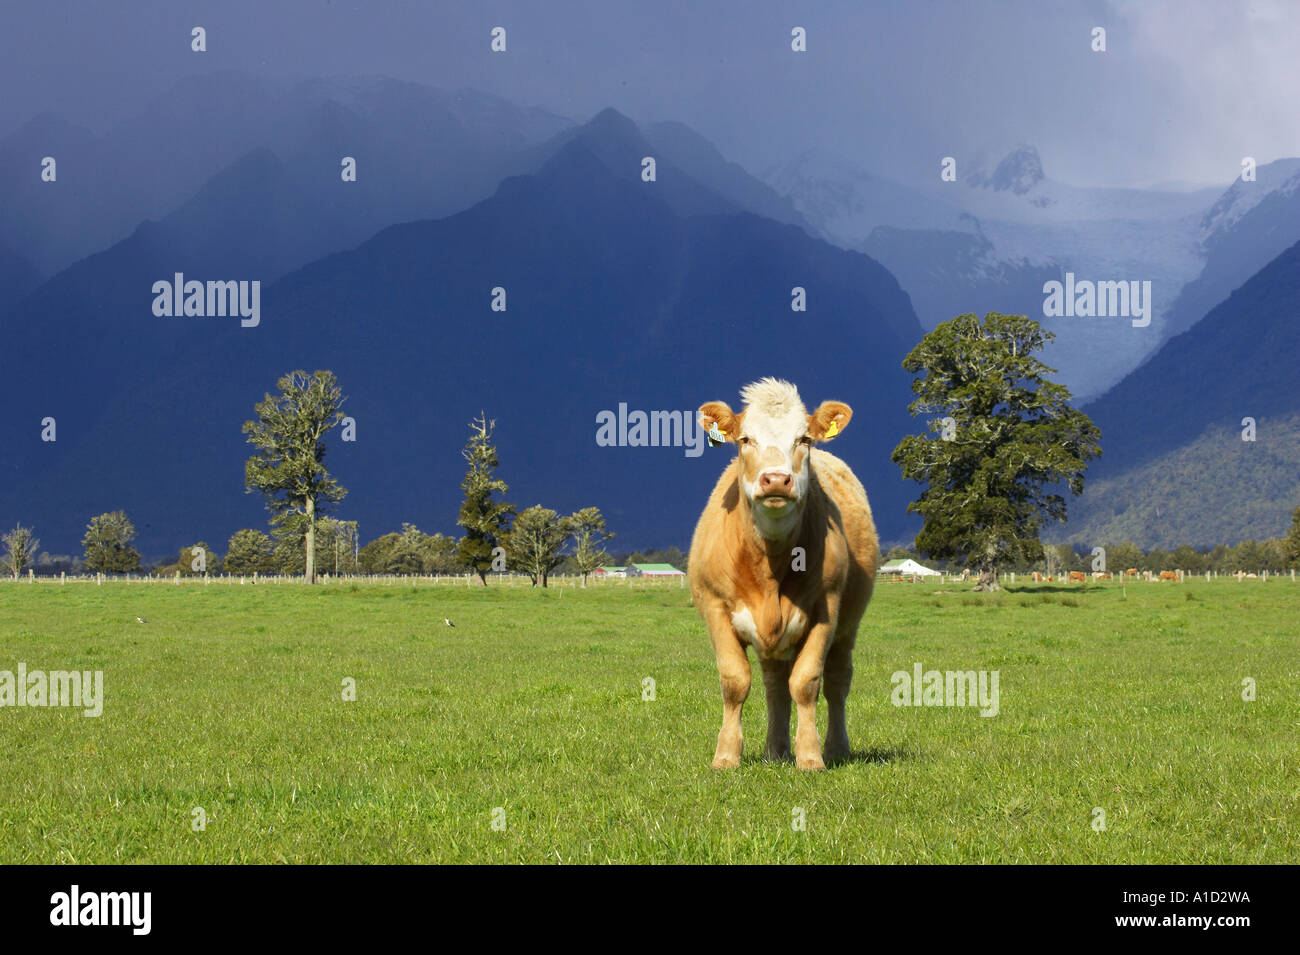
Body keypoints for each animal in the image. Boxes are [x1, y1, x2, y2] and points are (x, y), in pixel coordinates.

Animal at [686, 376, 878, 774]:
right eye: (745, 439)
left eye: (804, 439)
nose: (775, 479)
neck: (769, 564)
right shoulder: (713, 606)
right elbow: (735, 681)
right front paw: (726, 756)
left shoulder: (826, 610)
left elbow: (806, 682)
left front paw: (810, 756)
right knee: (775, 684)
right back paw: (775, 750)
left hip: (848, 625)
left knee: (837, 681)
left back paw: (836, 748)